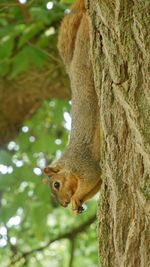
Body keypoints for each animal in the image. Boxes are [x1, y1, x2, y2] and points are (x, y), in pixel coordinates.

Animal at [44, 0, 101, 215]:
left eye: (56, 184)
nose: (64, 203)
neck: (69, 163)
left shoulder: (85, 164)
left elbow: (92, 177)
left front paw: (76, 198)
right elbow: (97, 184)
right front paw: (77, 206)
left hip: (84, 49)